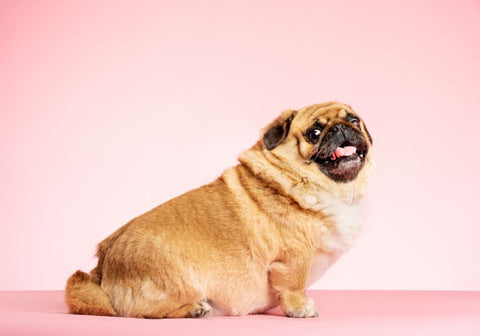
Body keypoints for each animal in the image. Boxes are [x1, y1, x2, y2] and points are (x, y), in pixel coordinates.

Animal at [66, 101, 376, 318]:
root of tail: (103, 264)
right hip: (177, 280)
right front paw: (300, 308)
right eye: (314, 133)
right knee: (139, 311)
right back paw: (193, 309)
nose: (340, 128)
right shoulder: (293, 259)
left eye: (354, 120)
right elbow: (294, 286)